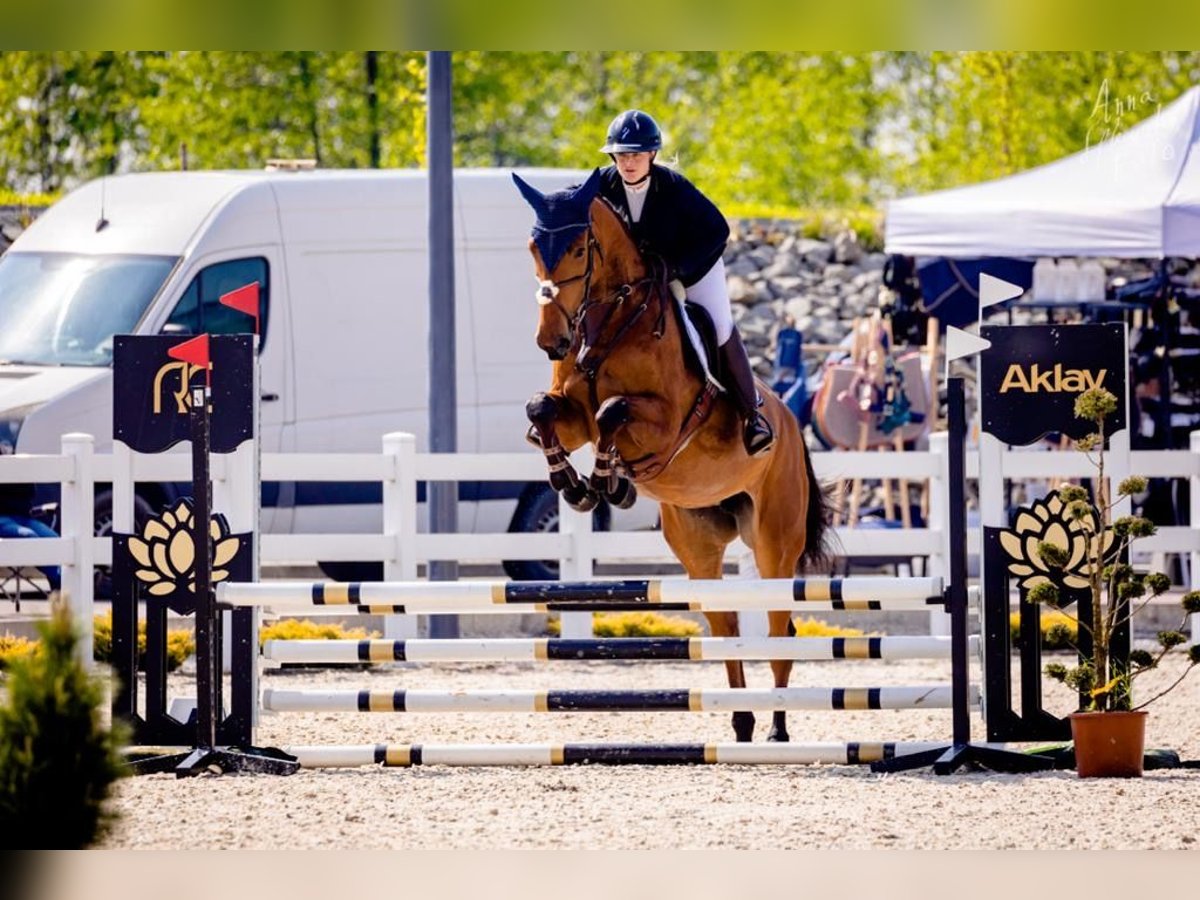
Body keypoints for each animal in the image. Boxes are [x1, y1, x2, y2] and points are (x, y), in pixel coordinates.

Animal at [511, 170, 830, 748]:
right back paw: (742, 723)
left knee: (778, 625)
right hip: (697, 543)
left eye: (577, 249)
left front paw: (608, 481)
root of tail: (794, 427)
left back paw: (777, 727)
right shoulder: (571, 414)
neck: (609, 321)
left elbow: (614, 411)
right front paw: (573, 482)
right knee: (727, 626)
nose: (552, 342)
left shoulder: (665, 421)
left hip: (775, 539)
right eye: (532, 248)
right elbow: (542, 409)